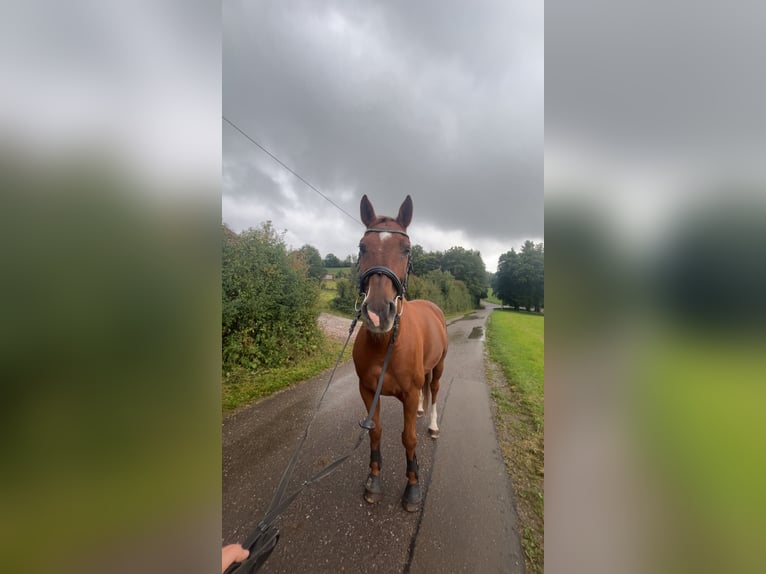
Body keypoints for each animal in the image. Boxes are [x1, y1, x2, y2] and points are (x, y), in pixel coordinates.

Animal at [352, 195, 448, 512]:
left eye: (406, 250)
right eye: (362, 247)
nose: (377, 313)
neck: (386, 344)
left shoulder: (407, 393)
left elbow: (409, 439)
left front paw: (413, 487)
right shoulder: (368, 390)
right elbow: (375, 431)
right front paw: (373, 480)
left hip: (439, 367)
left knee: (434, 390)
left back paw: (432, 424)